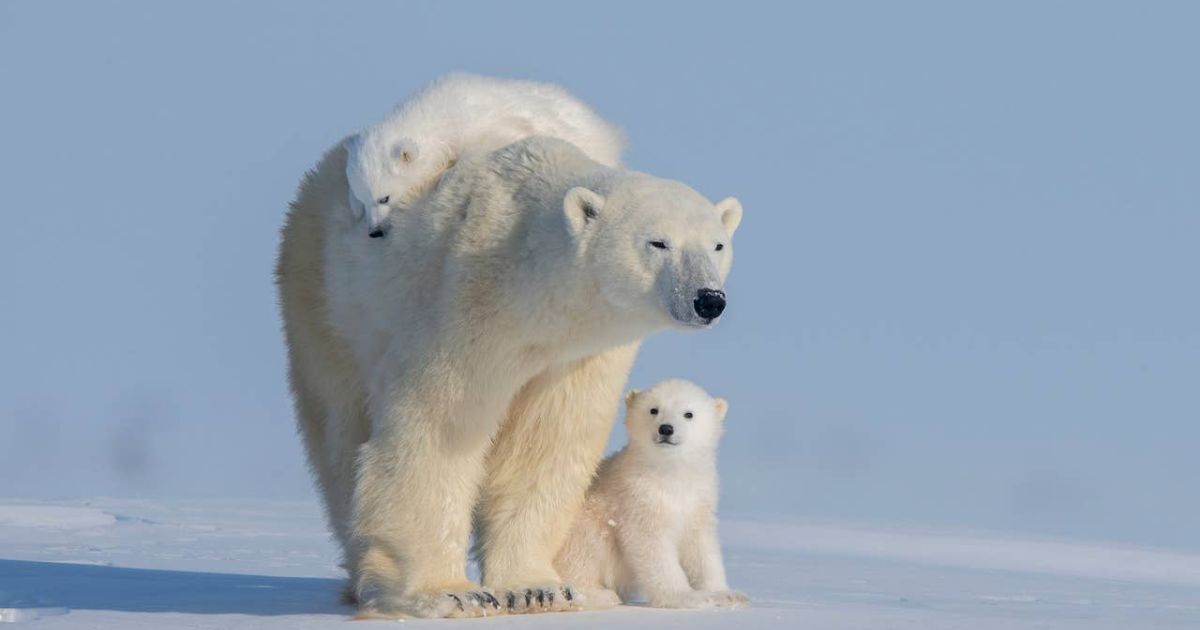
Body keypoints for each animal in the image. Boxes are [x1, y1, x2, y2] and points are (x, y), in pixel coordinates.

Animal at [345, 73, 624, 238]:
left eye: (384, 198)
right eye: (362, 198)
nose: (374, 231)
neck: (443, 112)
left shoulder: (484, 126)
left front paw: (446, 176)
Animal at [554, 379, 749, 609]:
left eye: (689, 414)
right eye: (653, 409)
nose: (666, 429)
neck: (670, 473)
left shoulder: (699, 497)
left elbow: (701, 547)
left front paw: (727, 595)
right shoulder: (638, 497)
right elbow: (652, 544)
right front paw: (686, 597)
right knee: (585, 551)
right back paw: (600, 594)